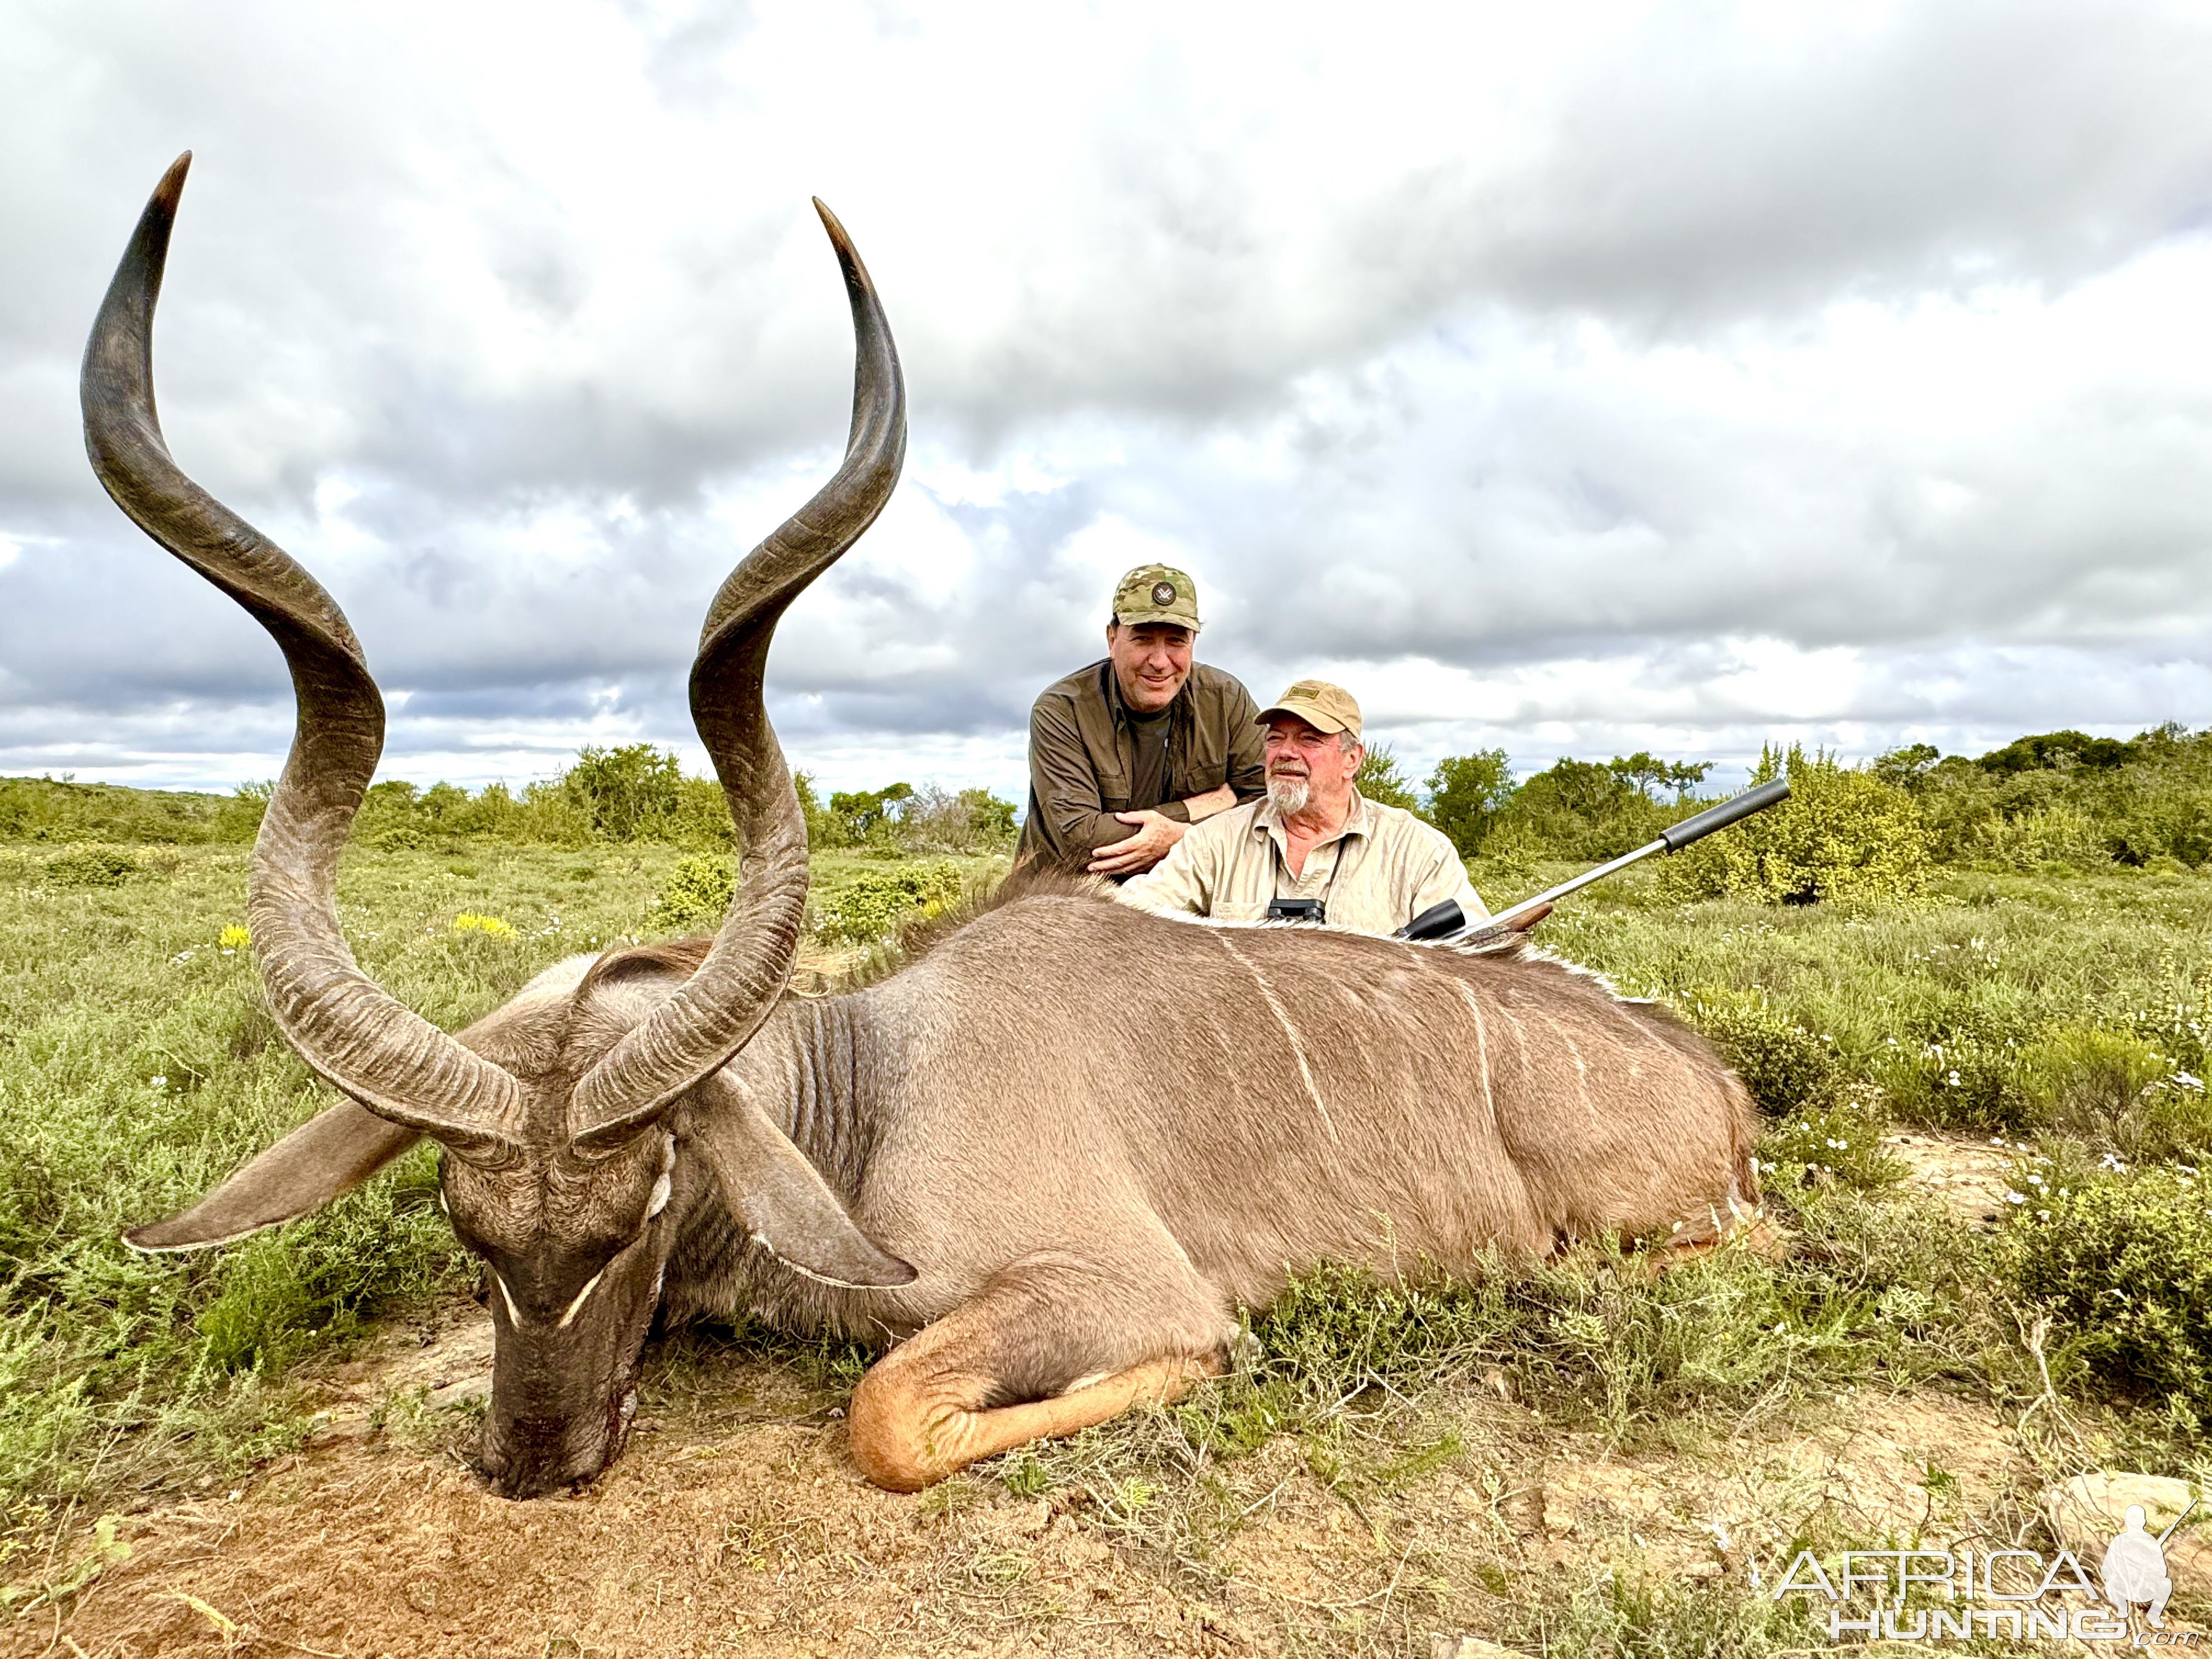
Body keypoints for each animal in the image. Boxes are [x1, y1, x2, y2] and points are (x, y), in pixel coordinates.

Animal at [95, 159, 1760, 1504]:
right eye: (461, 1223)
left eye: (647, 1201)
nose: (533, 1464)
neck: (867, 1095)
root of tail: (1719, 1085)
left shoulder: (1104, 1284)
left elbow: (893, 1413)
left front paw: (1204, 1362)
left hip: (1646, 1225)